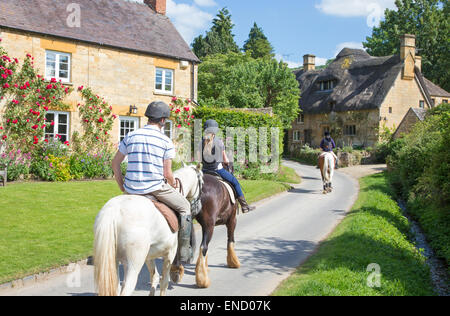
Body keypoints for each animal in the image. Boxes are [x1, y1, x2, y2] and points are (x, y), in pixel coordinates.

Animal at [95, 164, 204, 296]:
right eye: (202, 182)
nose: (198, 208)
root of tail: (113, 211)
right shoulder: (170, 253)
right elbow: (164, 282)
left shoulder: (149, 257)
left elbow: (154, 277)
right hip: (133, 266)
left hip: (112, 263)